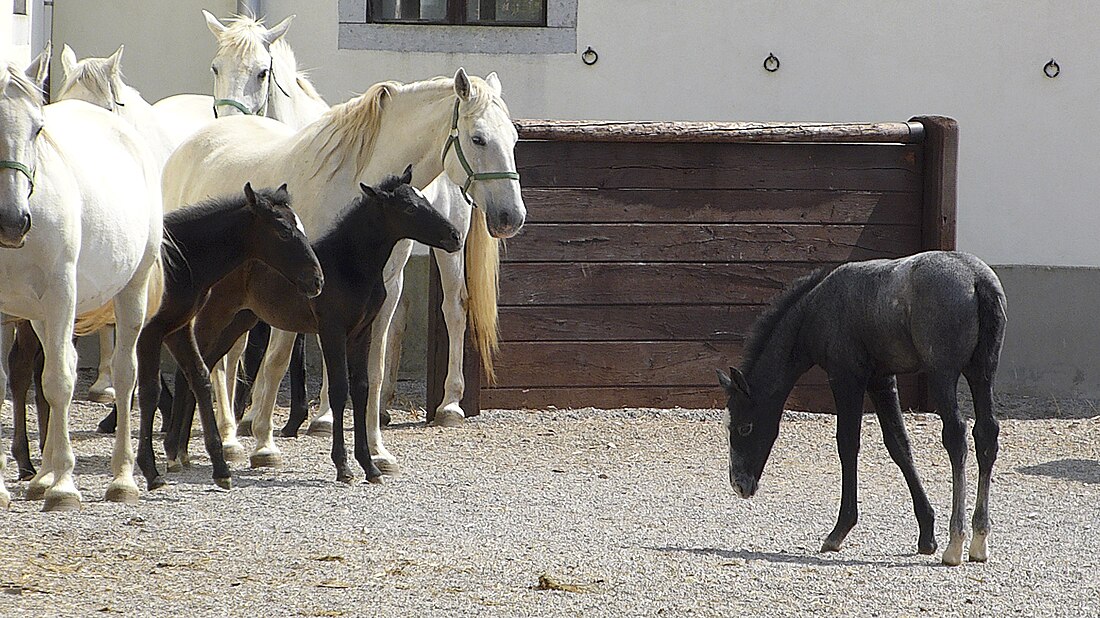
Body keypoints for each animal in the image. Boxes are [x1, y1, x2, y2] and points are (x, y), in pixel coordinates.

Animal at [0, 49, 162, 510]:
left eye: (37, 128)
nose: (12, 222)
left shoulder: (62, 295)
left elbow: (58, 383)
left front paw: (64, 488)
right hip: (40, 315)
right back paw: (43, 475)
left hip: (129, 292)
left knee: (123, 375)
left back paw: (121, 478)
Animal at [133, 180, 321, 488]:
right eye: (283, 231)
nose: (317, 280)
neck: (179, 259)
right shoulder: (151, 332)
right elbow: (150, 390)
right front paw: (150, 469)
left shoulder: (176, 328)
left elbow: (199, 377)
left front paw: (219, 467)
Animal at [169, 167, 462, 481]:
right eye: (408, 207)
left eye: (425, 200)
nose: (455, 236)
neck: (349, 265)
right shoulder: (332, 330)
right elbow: (339, 390)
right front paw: (343, 466)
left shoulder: (361, 332)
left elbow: (361, 387)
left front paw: (369, 466)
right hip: (215, 316)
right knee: (191, 369)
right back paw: (177, 452)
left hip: (240, 320)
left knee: (204, 364)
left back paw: (183, 451)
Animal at [717, 250, 1007, 563]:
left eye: (745, 427)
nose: (739, 484)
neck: (816, 309)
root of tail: (977, 279)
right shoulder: (882, 380)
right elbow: (899, 446)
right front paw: (927, 534)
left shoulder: (846, 377)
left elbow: (847, 444)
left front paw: (839, 530)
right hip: (982, 372)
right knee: (986, 434)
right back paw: (979, 539)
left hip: (942, 373)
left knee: (956, 436)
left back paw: (956, 542)